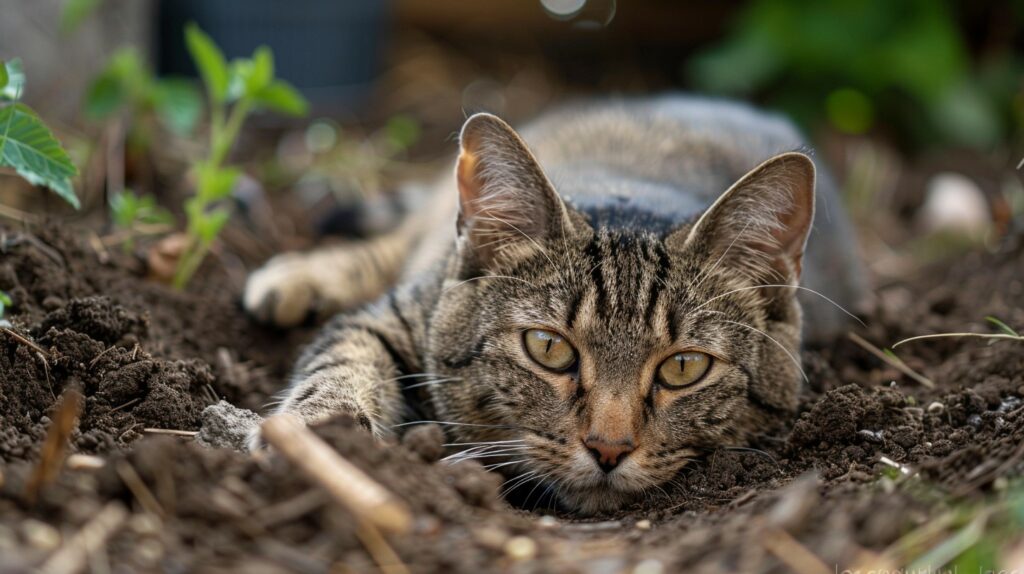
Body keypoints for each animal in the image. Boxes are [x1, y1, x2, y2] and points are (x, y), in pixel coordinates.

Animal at [243, 96, 860, 511]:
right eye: (549, 349)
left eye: (684, 367)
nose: (608, 449)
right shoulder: (391, 318)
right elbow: (340, 365)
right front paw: (321, 442)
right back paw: (299, 276)